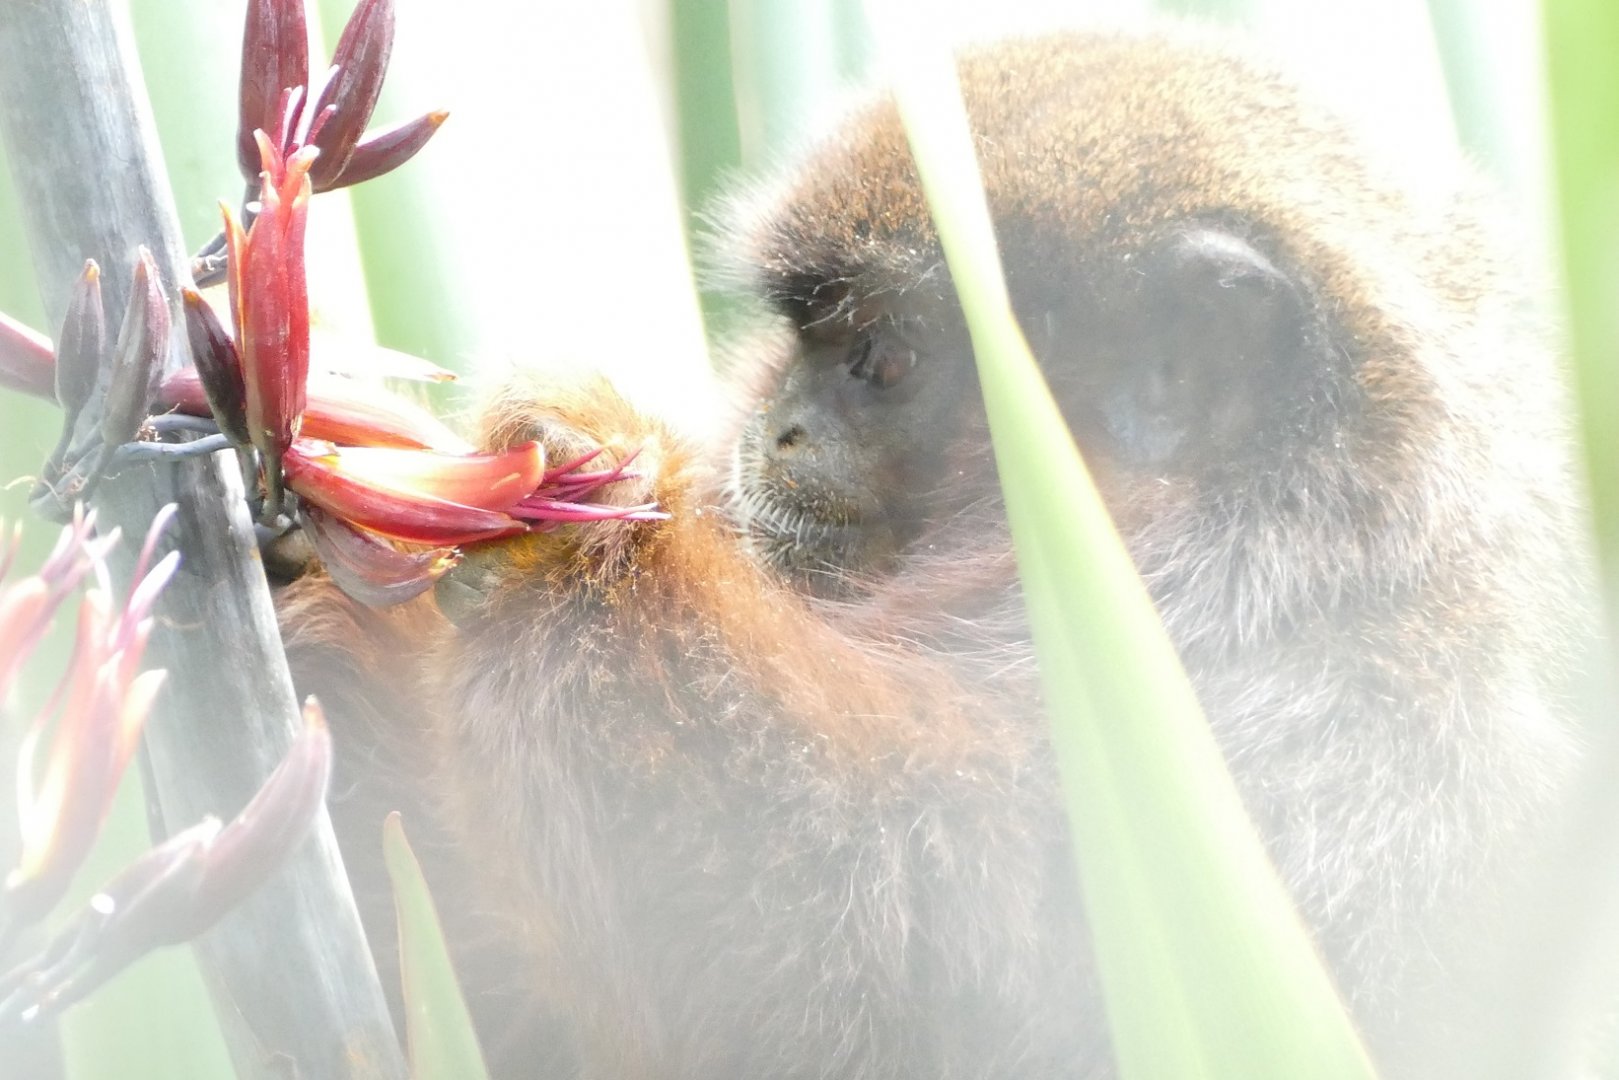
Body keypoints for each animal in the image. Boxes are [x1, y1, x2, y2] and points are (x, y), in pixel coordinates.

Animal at [278, 26, 1589, 1080]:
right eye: (799, 342)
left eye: (887, 360)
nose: (775, 426)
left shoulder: (1323, 735)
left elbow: (859, 965)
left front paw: (587, 489)